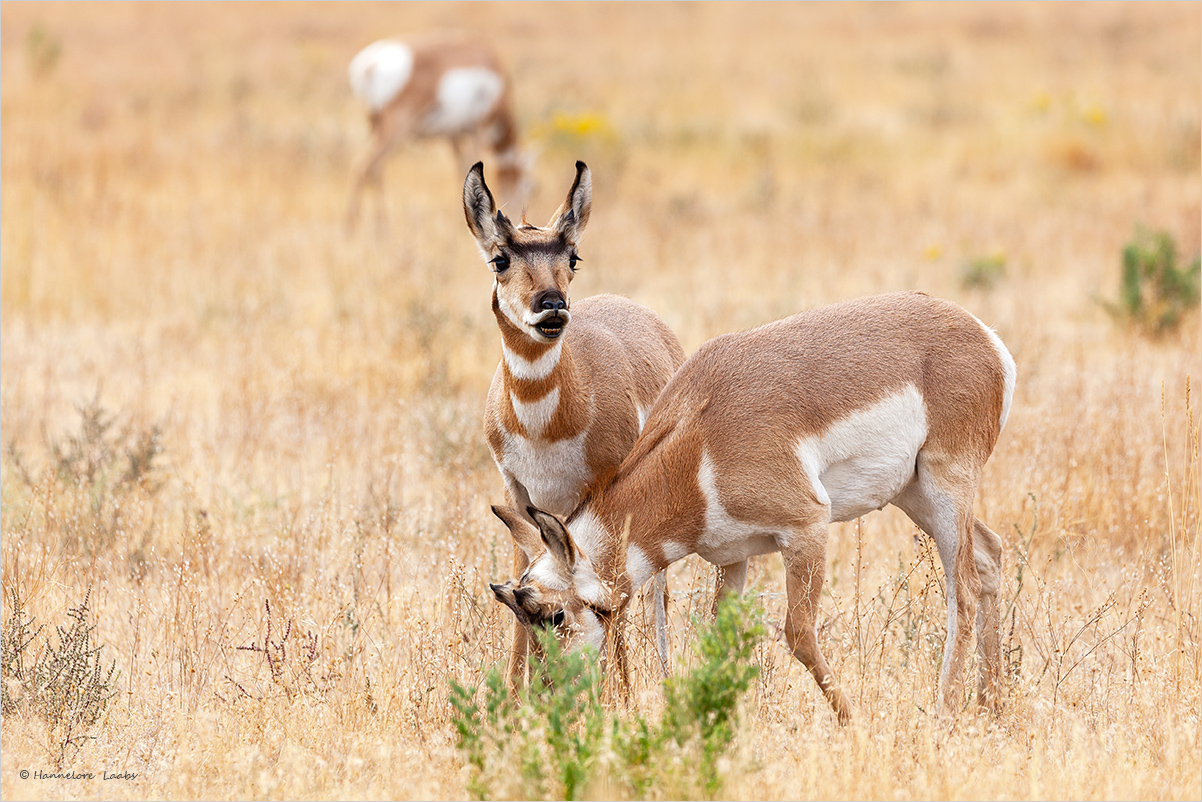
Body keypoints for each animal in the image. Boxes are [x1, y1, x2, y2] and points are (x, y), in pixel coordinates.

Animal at [350, 34, 533, 228]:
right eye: (529, 186)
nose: (518, 219)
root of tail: (370, 63)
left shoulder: (453, 137)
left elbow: (462, 169)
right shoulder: (478, 130)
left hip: (375, 126)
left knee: (374, 169)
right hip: (396, 129)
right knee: (364, 164)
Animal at [461, 159, 687, 687]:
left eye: (573, 257)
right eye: (499, 259)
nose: (552, 305)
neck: (545, 426)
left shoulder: (606, 495)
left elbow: (613, 599)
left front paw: (619, 693)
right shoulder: (517, 496)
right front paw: (514, 692)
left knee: (657, 595)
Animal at [488, 293, 1014, 721]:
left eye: (554, 615)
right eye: (520, 615)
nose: (544, 700)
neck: (699, 443)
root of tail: (981, 334)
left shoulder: (807, 529)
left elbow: (799, 634)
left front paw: (856, 724)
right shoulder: (733, 558)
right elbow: (718, 642)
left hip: (945, 489)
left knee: (963, 591)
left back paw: (944, 716)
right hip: (915, 494)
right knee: (989, 555)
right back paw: (990, 706)